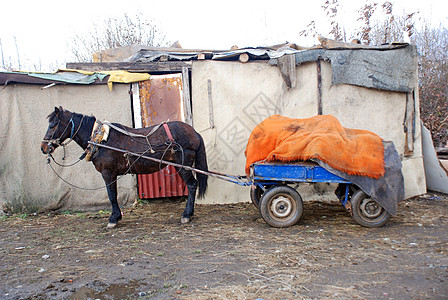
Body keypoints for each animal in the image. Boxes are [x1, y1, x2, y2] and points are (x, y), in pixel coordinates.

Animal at [41, 106, 209, 229]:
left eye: (52, 125)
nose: (43, 147)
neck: (101, 140)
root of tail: (194, 132)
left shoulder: (108, 173)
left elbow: (112, 195)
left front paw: (113, 219)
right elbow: (113, 195)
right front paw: (116, 216)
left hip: (183, 166)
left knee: (192, 185)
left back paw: (186, 214)